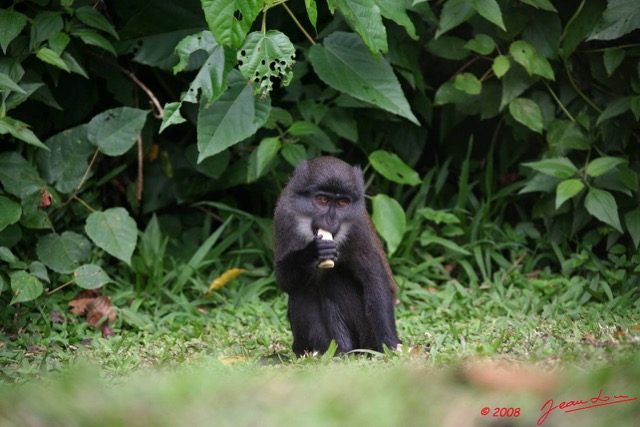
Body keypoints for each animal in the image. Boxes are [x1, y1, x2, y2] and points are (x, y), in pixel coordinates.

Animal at [274, 155, 400, 356]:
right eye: (323, 200)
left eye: (342, 203)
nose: (330, 220)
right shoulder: (285, 216)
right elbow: (285, 281)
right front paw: (311, 252)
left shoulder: (358, 227)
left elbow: (376, 281)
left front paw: (390, 345)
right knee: (302, 291)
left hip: (366, 334)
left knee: (332, 279)